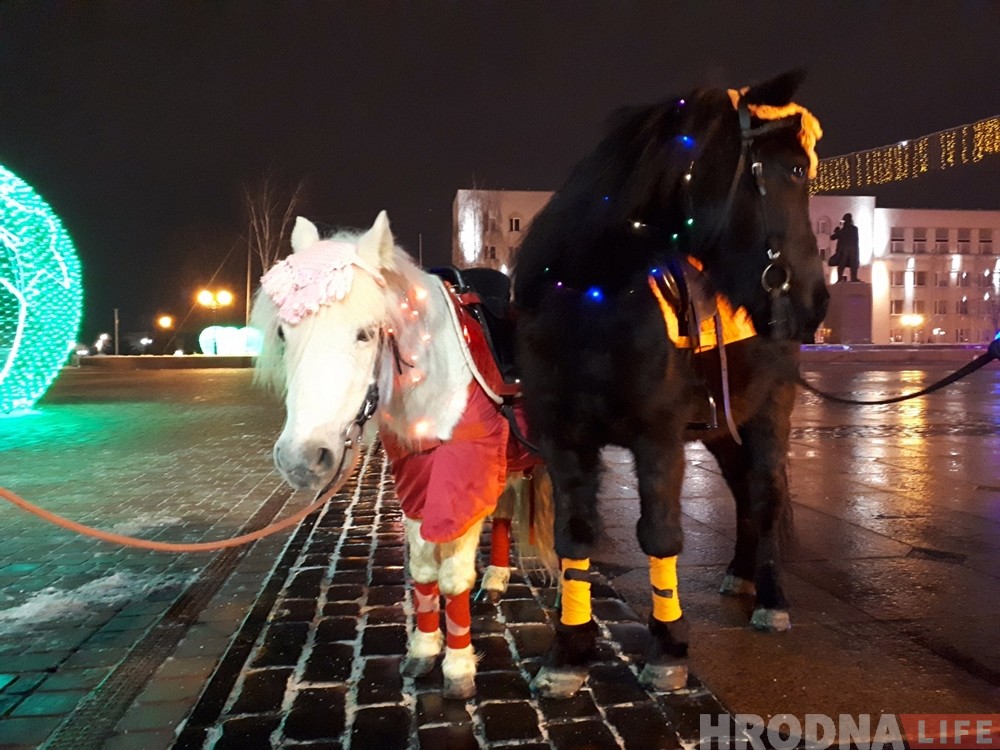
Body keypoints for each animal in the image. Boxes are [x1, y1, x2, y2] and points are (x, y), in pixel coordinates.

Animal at [249, 210, 548, 700]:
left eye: (366, 333)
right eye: (282, 332)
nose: (301, 458)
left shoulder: (463, 476)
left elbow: (452, 576)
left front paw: (458, 666)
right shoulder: (415, 478)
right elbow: (424, 568)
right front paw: (425, 649)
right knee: (505, 509)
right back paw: (497, 578)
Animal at [512, 72, 832, 700]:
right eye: (794, 169)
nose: (815, 300)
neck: (592, 304)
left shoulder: (656, 437)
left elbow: (660, 535)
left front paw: (668, 647)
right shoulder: (564, 440)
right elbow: (574, 538)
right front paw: (569, 653)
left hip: (769, 412)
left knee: (764, 495)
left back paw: (771, 598)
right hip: (723, 427)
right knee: (743, 495)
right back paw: (739, 574)